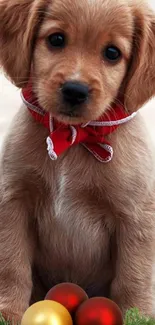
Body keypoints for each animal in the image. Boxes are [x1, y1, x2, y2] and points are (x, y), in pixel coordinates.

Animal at [0, 0, 155, 320]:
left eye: (112, 53)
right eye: (56, 39)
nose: (75, 90)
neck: (72, 139)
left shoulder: (135, 217)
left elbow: (133, 276)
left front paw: (136, 316)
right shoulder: (13, 202)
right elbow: (12, 265)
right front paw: (8, 312)